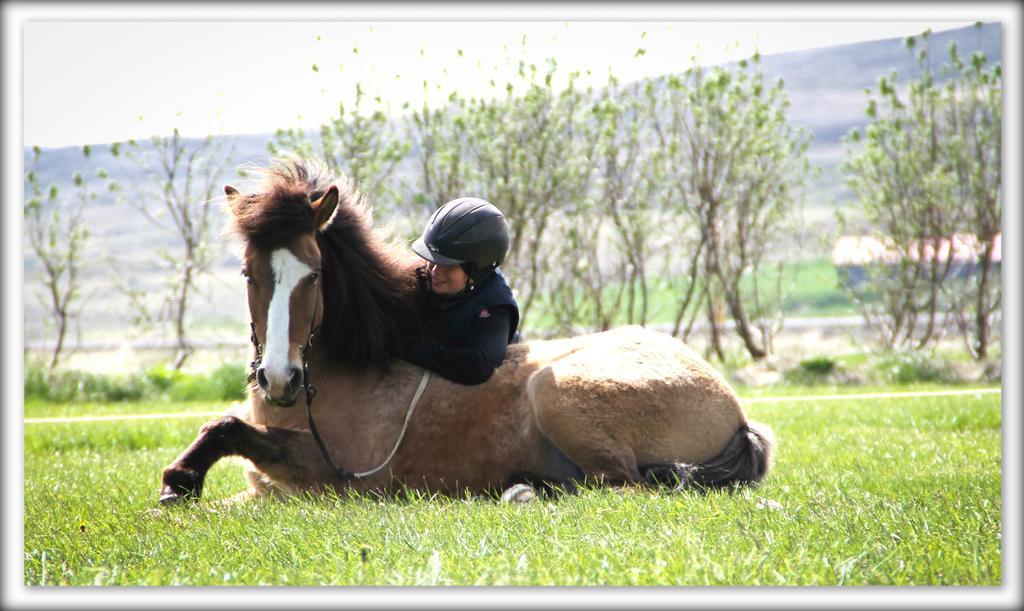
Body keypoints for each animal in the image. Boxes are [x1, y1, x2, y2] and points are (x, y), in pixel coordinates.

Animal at [155, 157, 770, 505]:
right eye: (249, 274)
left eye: (313, 275)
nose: (279, 379)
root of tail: (734, 408)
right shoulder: (265, 496)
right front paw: (180, 487)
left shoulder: (335, 481)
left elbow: (228, 427)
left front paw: (178, 481)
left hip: (559, 394)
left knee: (621, 489)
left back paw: (525, 493)